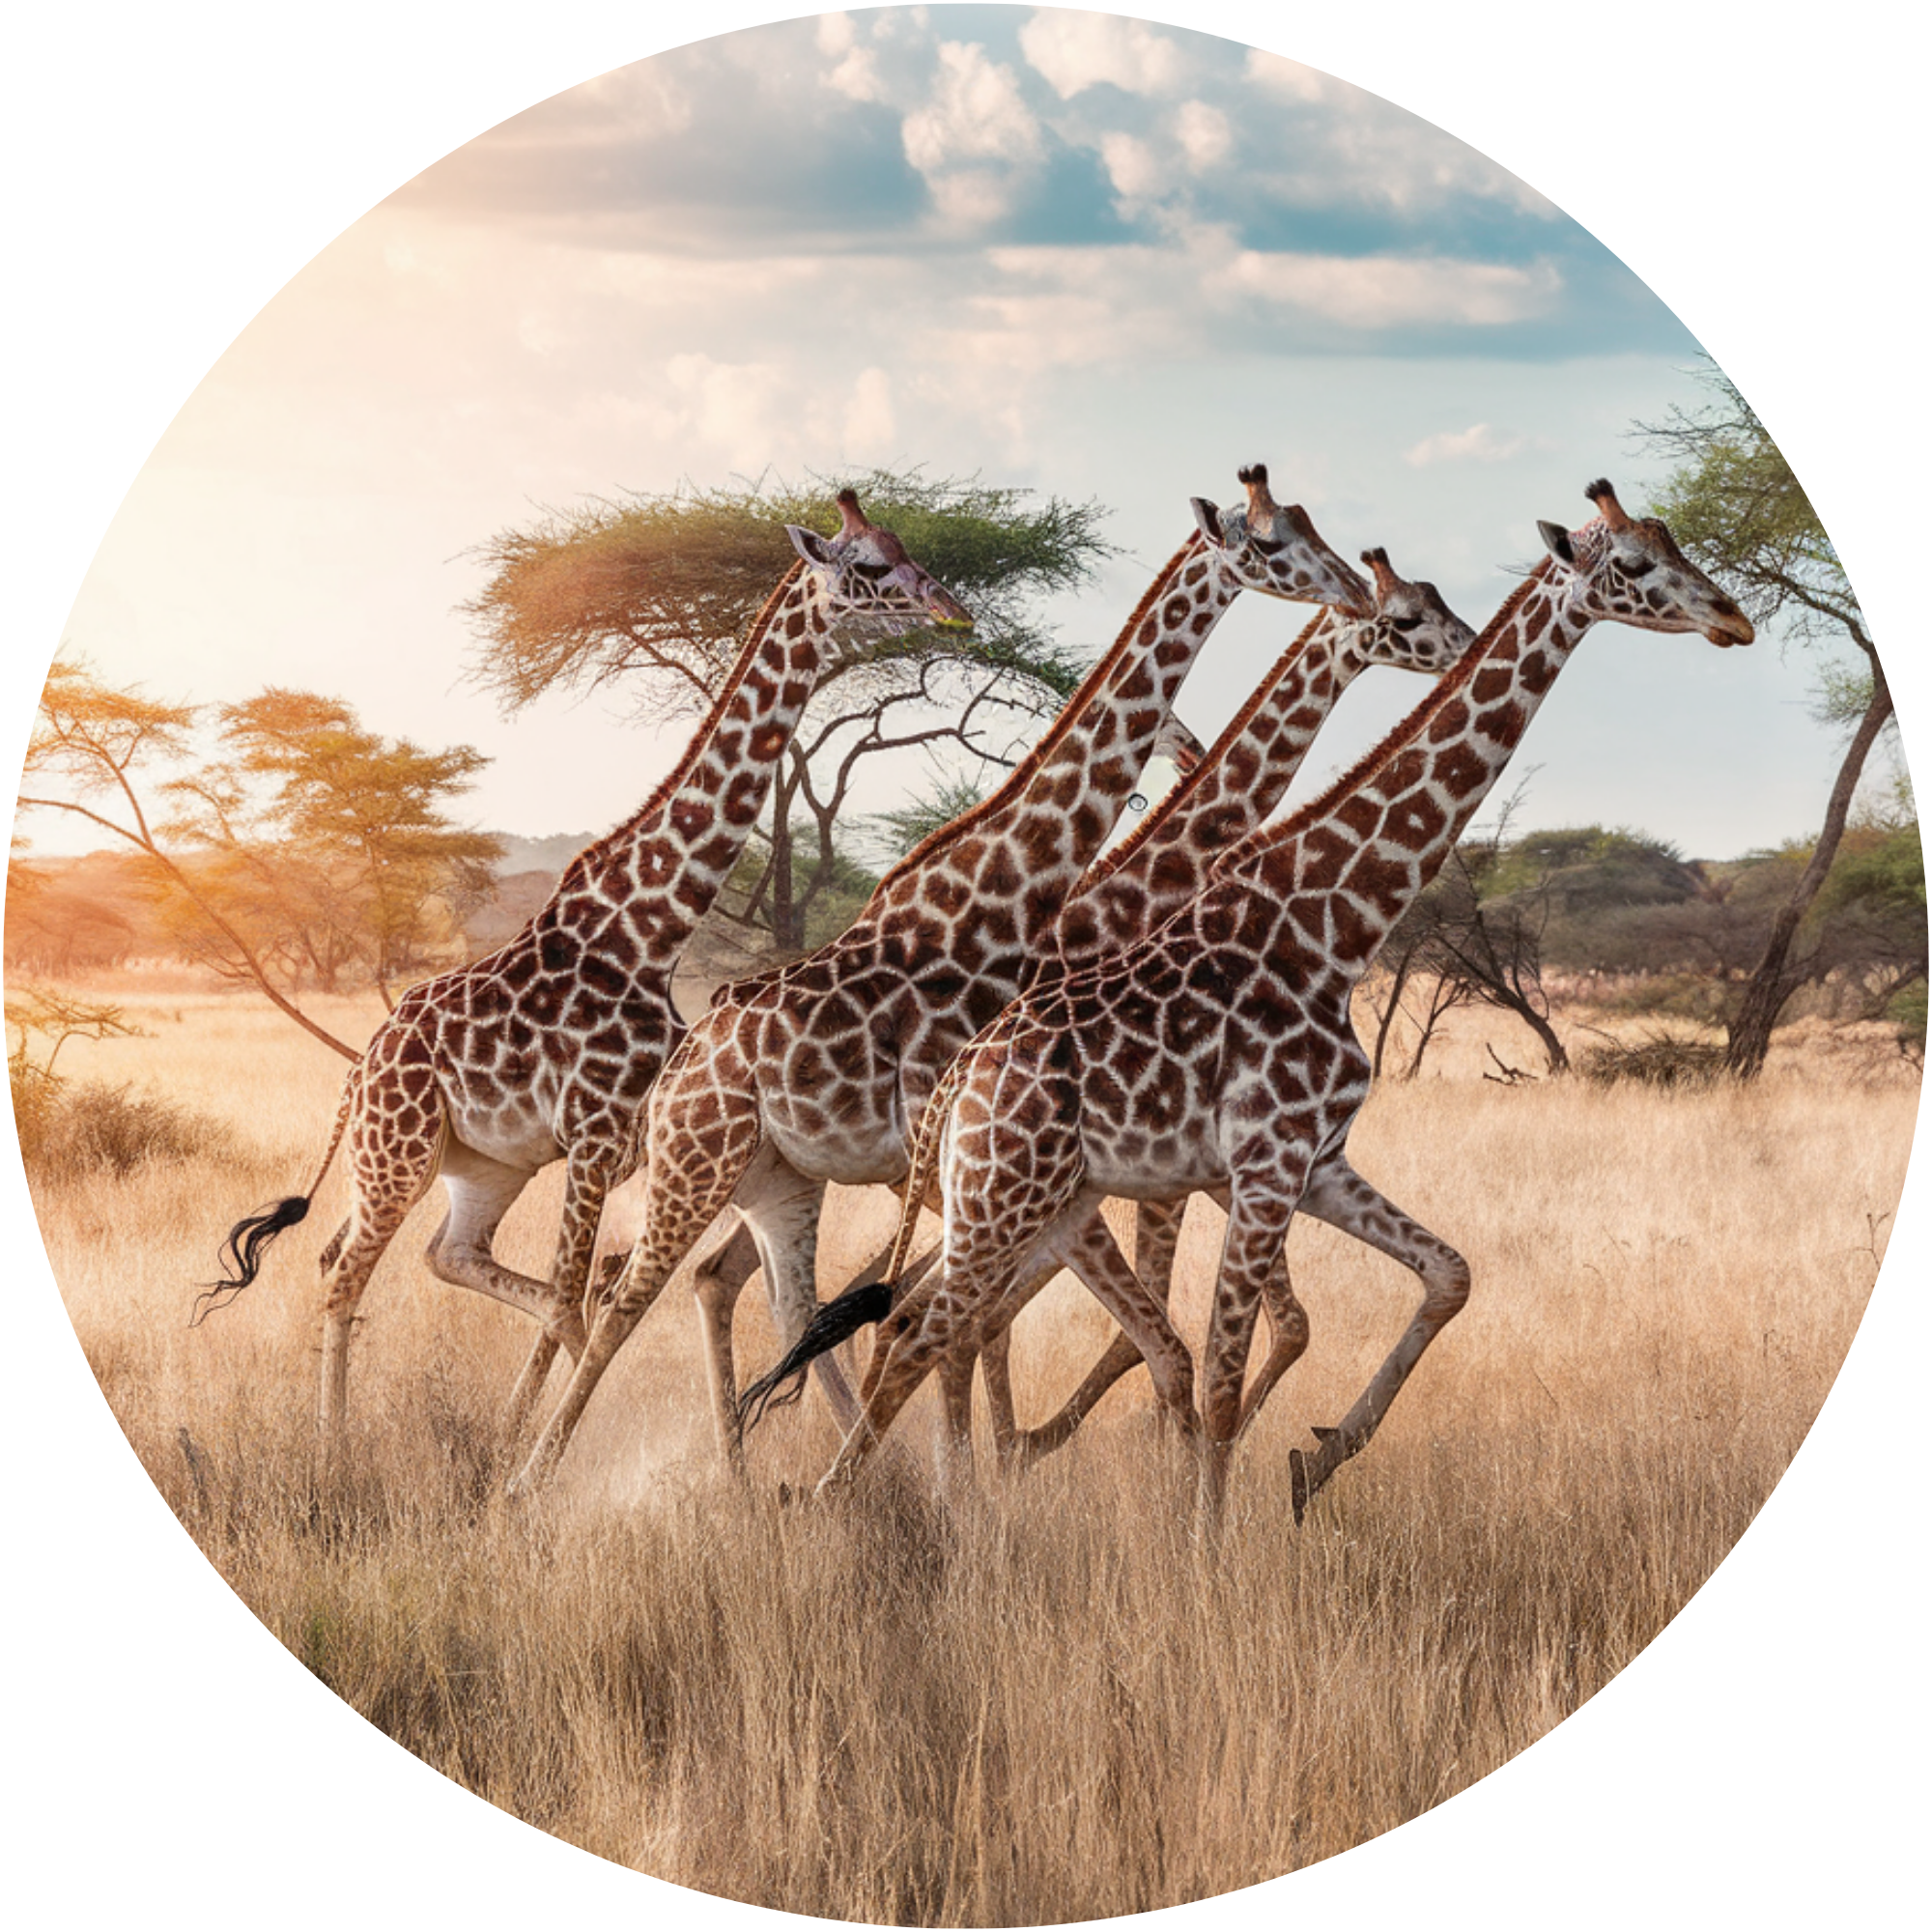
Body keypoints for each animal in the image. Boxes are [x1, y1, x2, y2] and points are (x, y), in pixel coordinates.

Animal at [201, 493, 974, 1444]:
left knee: (439, 1254)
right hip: (397, 1149)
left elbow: (586, 1296)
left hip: (481, 1166)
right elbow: (582, 1298)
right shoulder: (597, 1136)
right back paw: (332, 1449)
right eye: (865, 566)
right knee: (346, 1270)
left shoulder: (618, 1144)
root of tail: (361, 1071)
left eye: (904, 545)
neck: (649, 926)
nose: (950, 608)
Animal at [505, 466, 1374, 1496]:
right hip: (706, 1160)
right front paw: (980, 1474)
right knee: (628, 1293)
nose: (1355, 591)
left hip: (785, 1175)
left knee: (741, 1287)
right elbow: (959, 1322)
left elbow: (948, 1317)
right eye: (1276, 543)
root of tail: (692, 1046)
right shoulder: (968, 1155)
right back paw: (531, 1474)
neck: (1001, 910)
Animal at [746, 481, 1753, 1520]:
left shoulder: (1312, 1161)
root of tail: (965, 1075)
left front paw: (1317, 1457)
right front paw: (1200, 1537)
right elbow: (1220, 1368)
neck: (1330, 926)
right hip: (998, 1195)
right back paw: (881, 1497)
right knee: (913, 1322)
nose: (1733, 616)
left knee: (901, 1311)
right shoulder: (1258, 1167)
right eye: (1632, 565)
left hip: (1026, 1198)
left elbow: (1442, 1276)